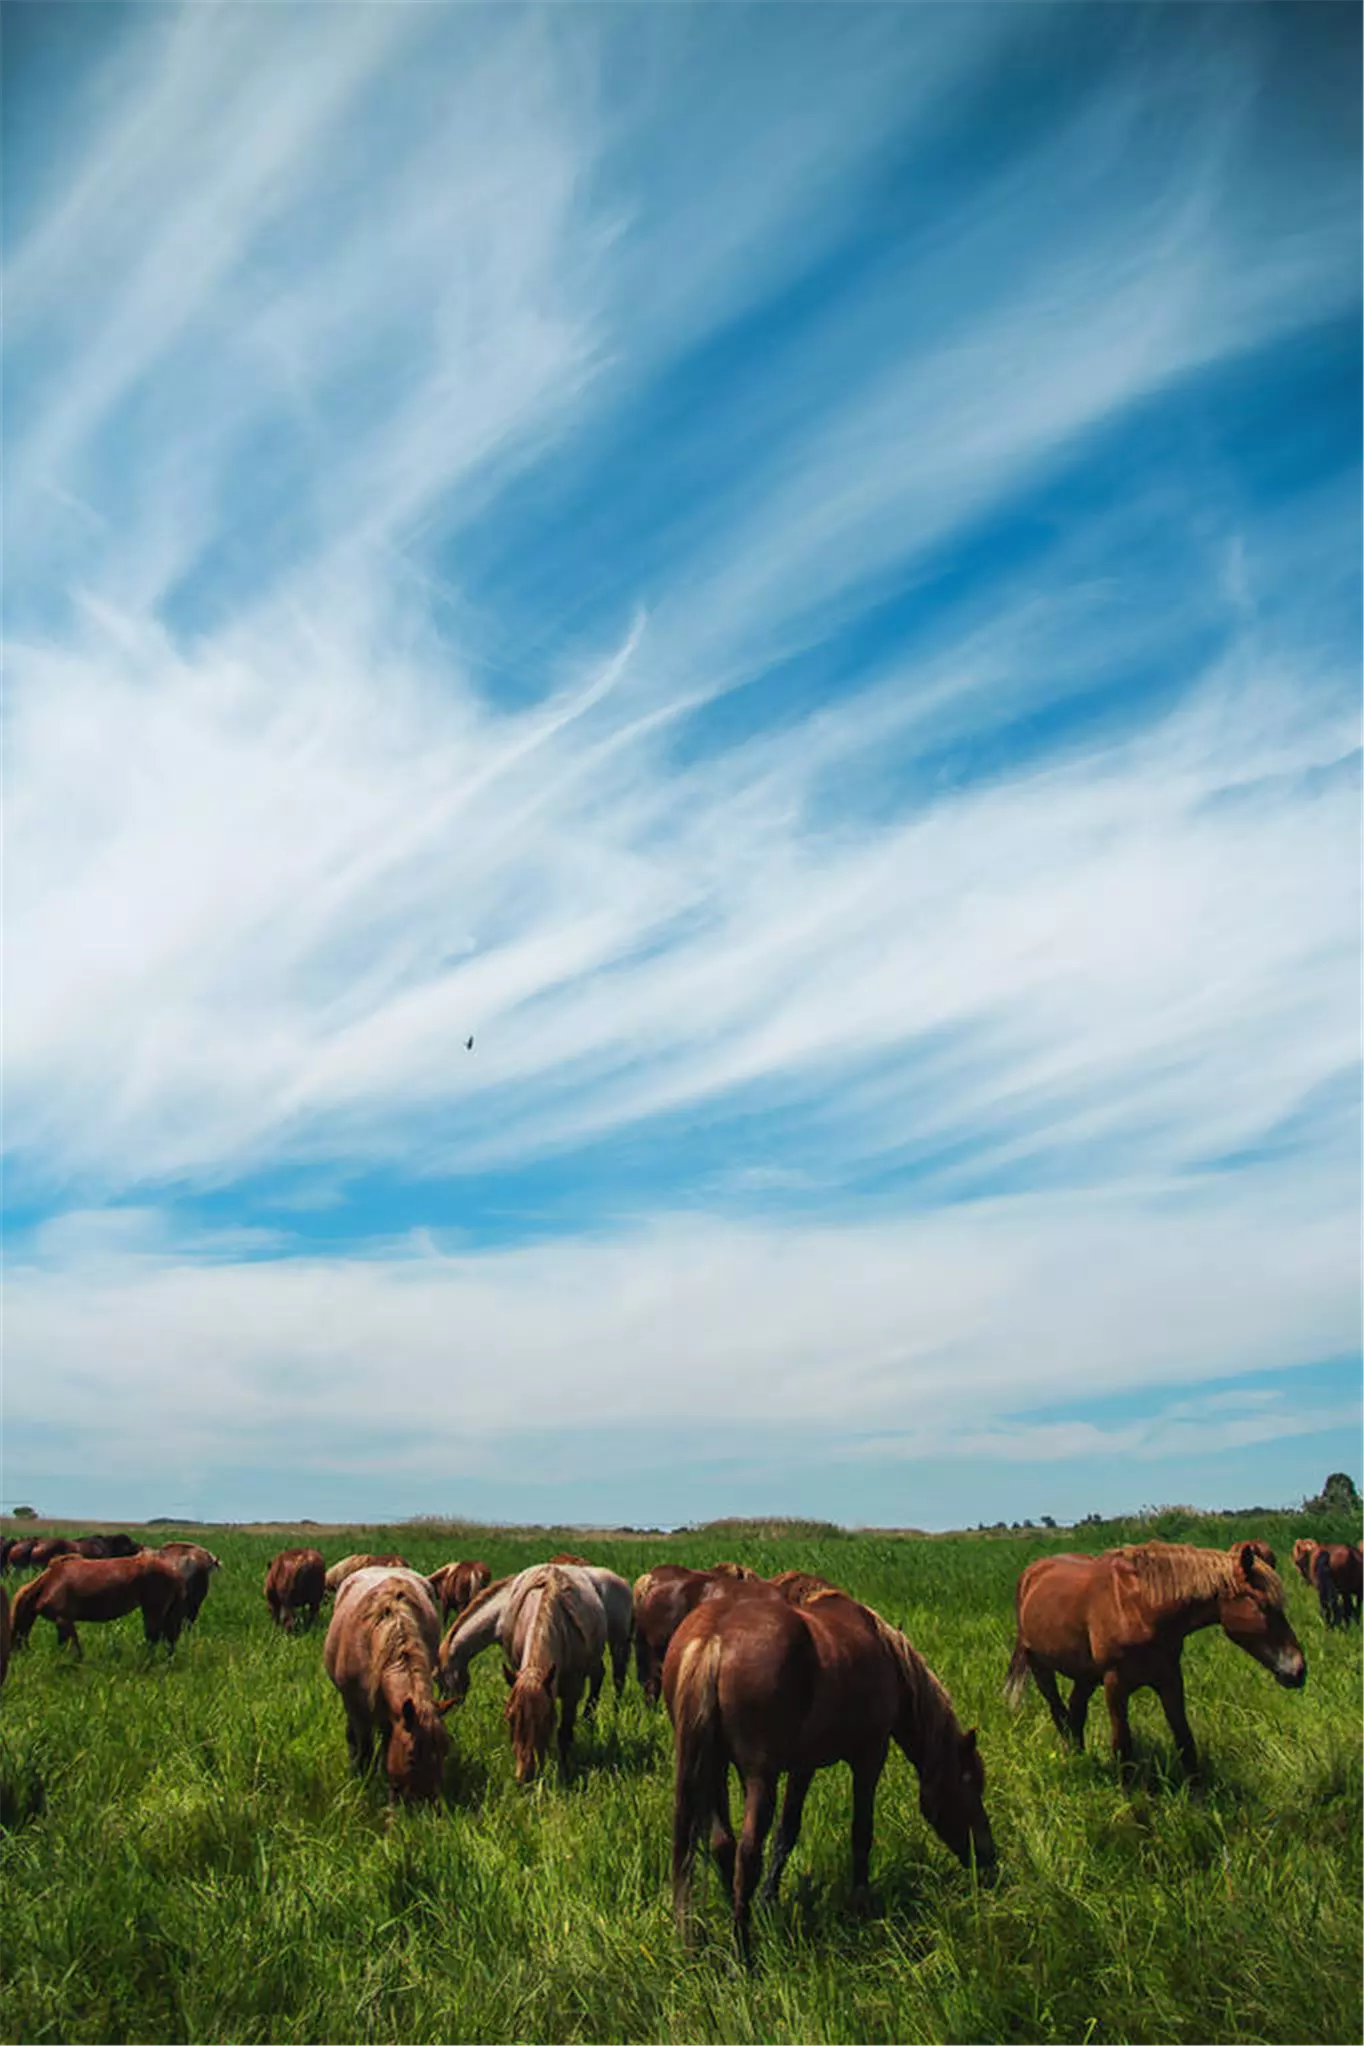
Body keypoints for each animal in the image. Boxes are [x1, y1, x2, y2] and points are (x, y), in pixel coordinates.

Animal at [325, 1571, 453, 1800]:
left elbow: (387, 1744)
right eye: (412, 1757)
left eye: (444, 1752)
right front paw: (362, 1777)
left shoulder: (393, 1712)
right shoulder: (355, 1707)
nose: (429, 1803)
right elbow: (365, 1745)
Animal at [662, 1579, 993, 1947]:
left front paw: (767, 1902)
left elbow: (787, 1832)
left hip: (713, 1769)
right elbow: (861, 1832)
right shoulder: (869, 1757)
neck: (887, 1657)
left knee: (724, 1845)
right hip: (760, 1777)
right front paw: (861, 1903)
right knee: (746, 1854)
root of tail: (714, 1639)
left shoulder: (802, 1766)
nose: (988, 1858)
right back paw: (743, 1951)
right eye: (970, 1782)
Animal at [1010, 1538, 1308, 1775]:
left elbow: (1185, 1741)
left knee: (1076, 1711)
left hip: (1086, 1676)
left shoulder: (1170, 1678)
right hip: (1041, 1668)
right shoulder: (1115, 1685)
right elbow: (1123, 1747)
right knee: (1059, 1712)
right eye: (1263, 1605)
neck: (1141, 1606)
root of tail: (1031, 1573)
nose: (1298, 1670)